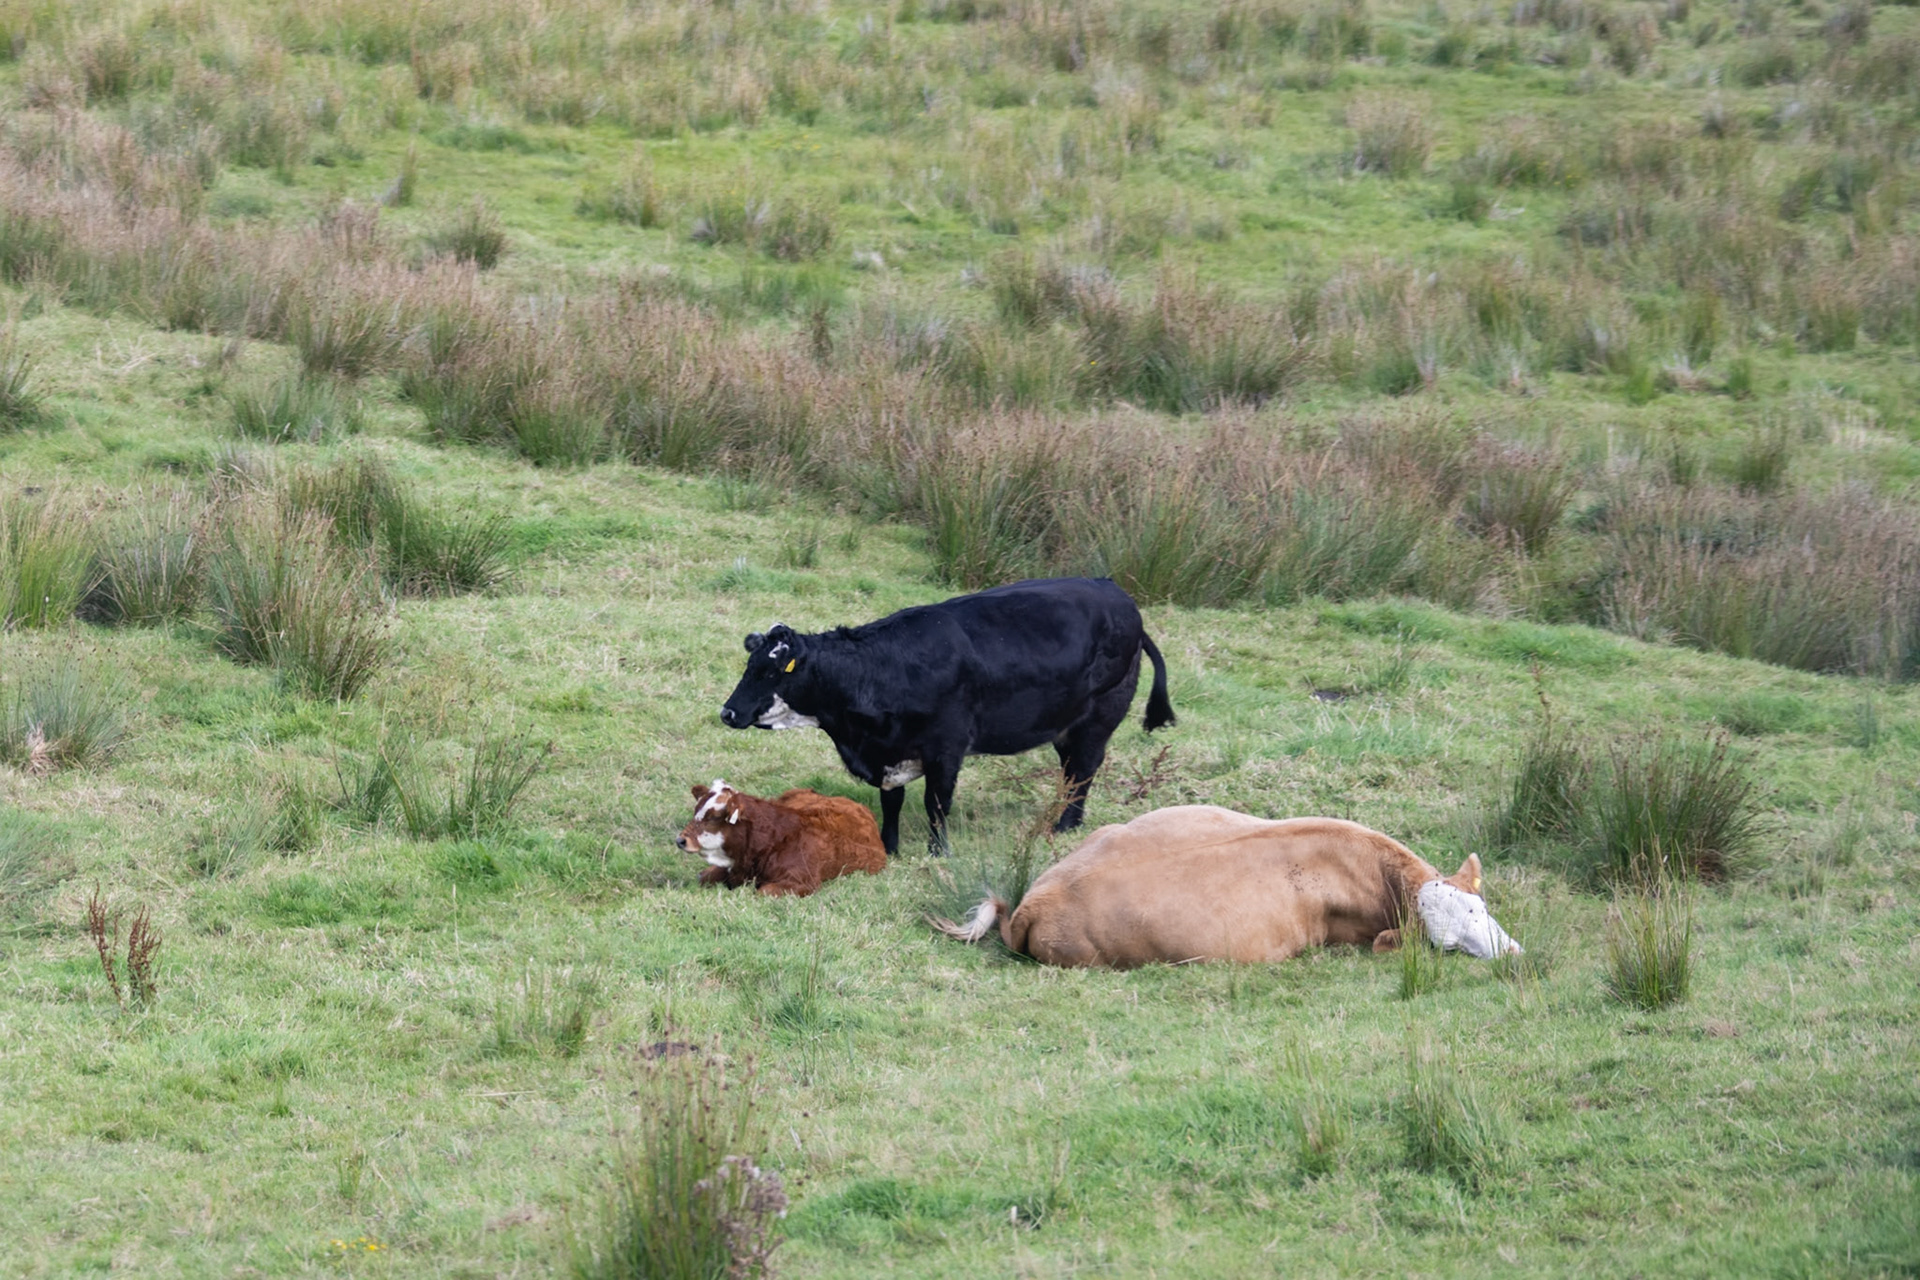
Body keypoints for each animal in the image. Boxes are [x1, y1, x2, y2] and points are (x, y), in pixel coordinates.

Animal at [675, 780, 887, 897]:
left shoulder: (803, 882)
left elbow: (763, 892)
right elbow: (703, 877)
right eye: (696, 811)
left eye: (713, 817)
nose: (680, 840)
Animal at [718, 577, 1175, 856]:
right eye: (749, 665)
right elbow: (892, 802)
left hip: (1097, 720)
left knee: (1084, 770)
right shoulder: (891, 752)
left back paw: (1067, 824)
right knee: (1071, 771)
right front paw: (889, 846)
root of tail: (1113, 590)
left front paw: (938, 852)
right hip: (1066, 727)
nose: (728, 712)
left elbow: (936, 804)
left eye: (772, 672)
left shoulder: (946, 749)